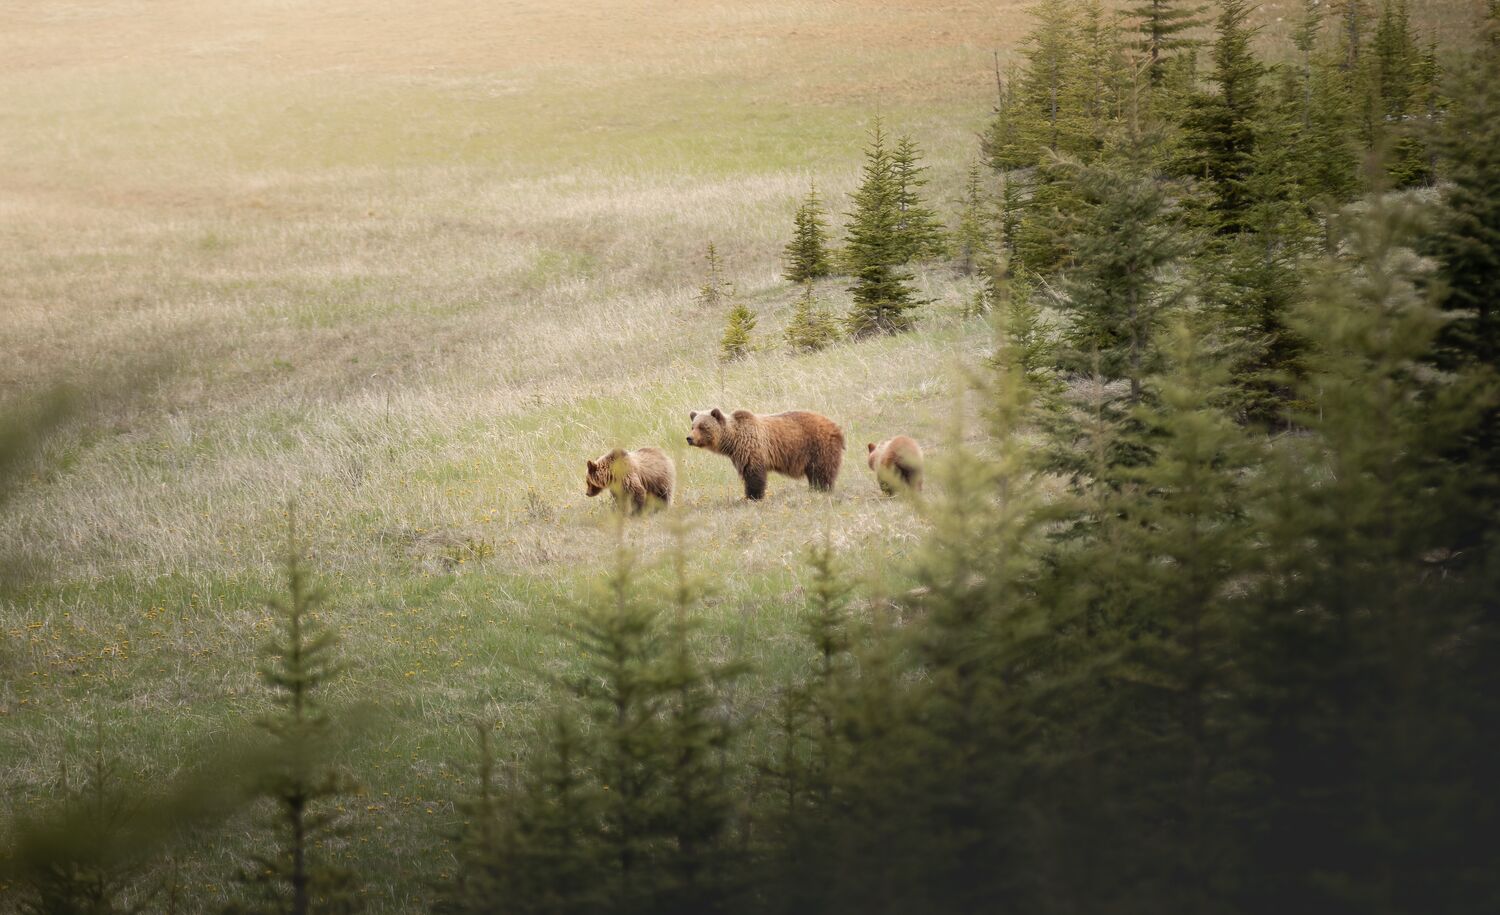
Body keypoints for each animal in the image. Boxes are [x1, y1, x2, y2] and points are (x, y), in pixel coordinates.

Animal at [686, 408, 844, 500]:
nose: (689, 438)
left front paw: (753, 496)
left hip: (818, 446)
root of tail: (836, 426)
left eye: (703, 426)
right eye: (693, 426)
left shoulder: (752, 449)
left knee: (822, 471)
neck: (733, 440)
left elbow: (754, 476)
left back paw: (821, 489)